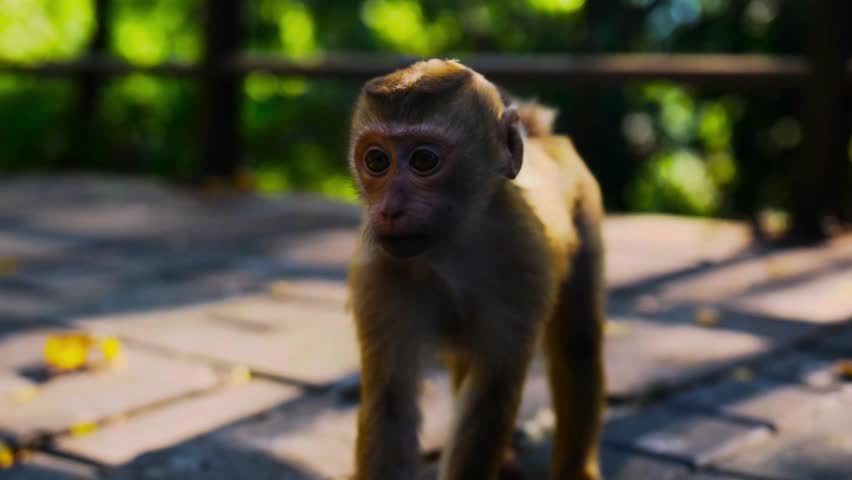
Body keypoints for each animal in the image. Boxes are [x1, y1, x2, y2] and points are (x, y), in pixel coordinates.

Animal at [346, 59, 606, 480]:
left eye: (424, 160)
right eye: (376, 161)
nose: (389, 209)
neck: (451, 249)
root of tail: (542, 138)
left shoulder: (524, 262)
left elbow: (492, 396)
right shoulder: (378, 273)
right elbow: (389, 405)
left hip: (586, 204)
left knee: (578, 342)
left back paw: (576, 468)